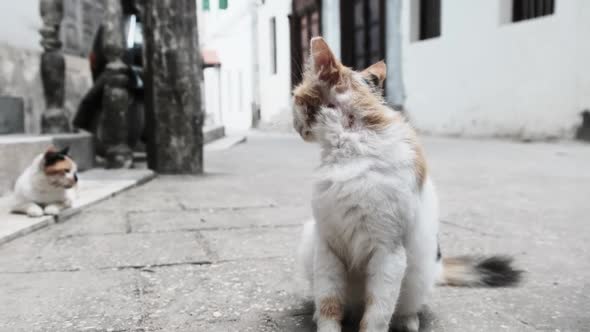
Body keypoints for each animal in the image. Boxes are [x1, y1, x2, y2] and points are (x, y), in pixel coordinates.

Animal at [296, 37, 524, 332]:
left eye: (295, 98)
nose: (295, 126)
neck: (351, 143)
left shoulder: (388, 251)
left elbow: (378, 312)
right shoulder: (328, 246)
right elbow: (328, 303)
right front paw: (326, 323)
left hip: (418, 273)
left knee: (405, 307)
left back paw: (408, 322)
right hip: (309, 242)